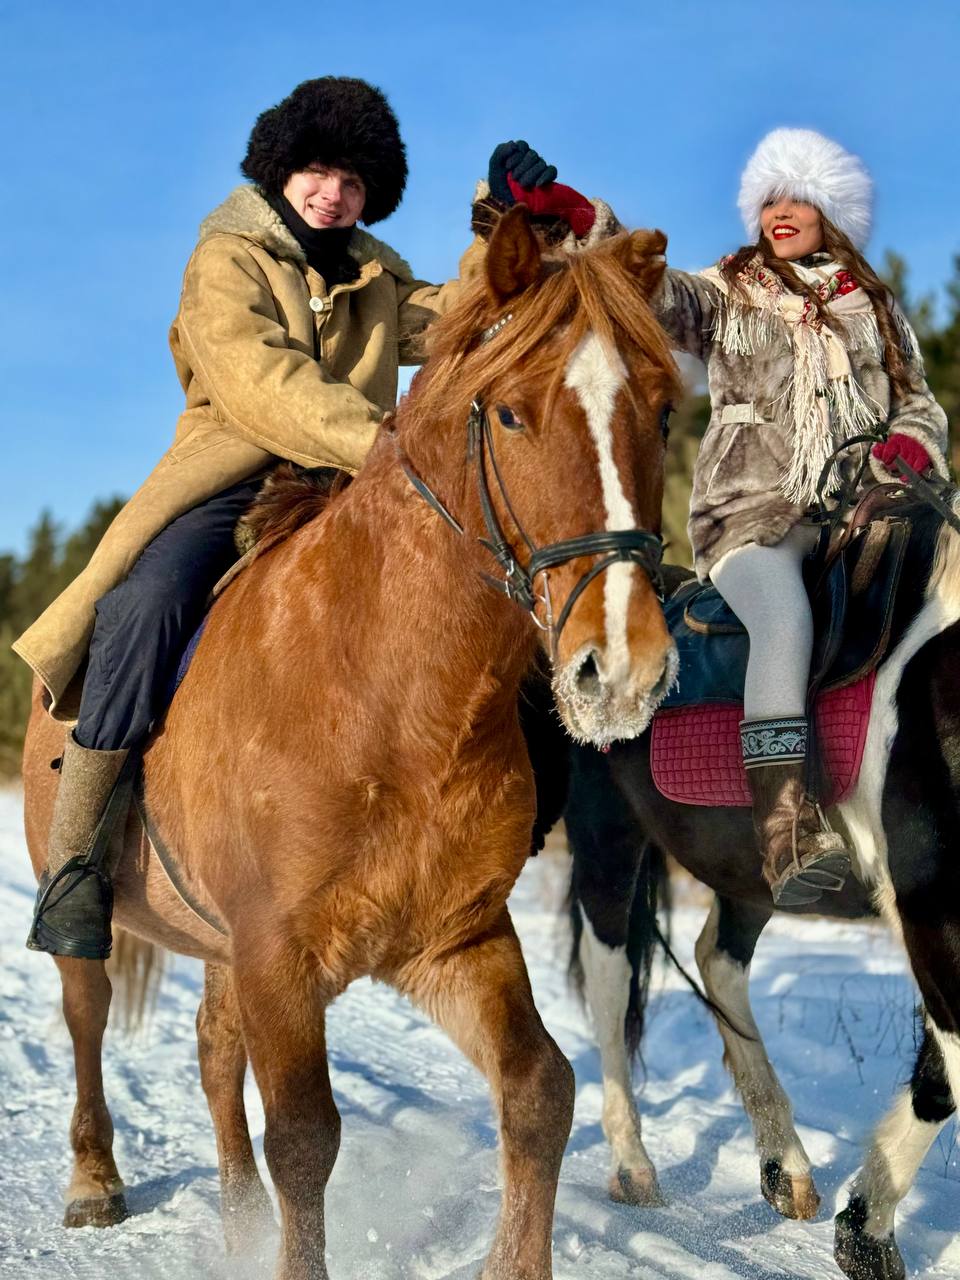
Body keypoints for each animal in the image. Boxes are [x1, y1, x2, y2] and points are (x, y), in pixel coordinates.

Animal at [22, 209, 686, 1280]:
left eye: (663, 414)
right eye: (511, 416)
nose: (621, 668)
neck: (393, 706)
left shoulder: (453, 939)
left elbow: (540, 1092)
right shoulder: (280, 957)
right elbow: (303, 1138)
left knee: (213, 1052)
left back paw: (238, 1224)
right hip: (95, 912)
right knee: (87, 1023)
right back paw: (94, 1183)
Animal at [563, 496, 960, 1280]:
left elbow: (937, 1079)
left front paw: (863, 1231)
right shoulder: (937, 919)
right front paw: (865, 1232)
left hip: (750, 877)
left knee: (716, 958)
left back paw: (787, 1167)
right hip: (606, 838)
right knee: (610, 978)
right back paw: (632, 1165)